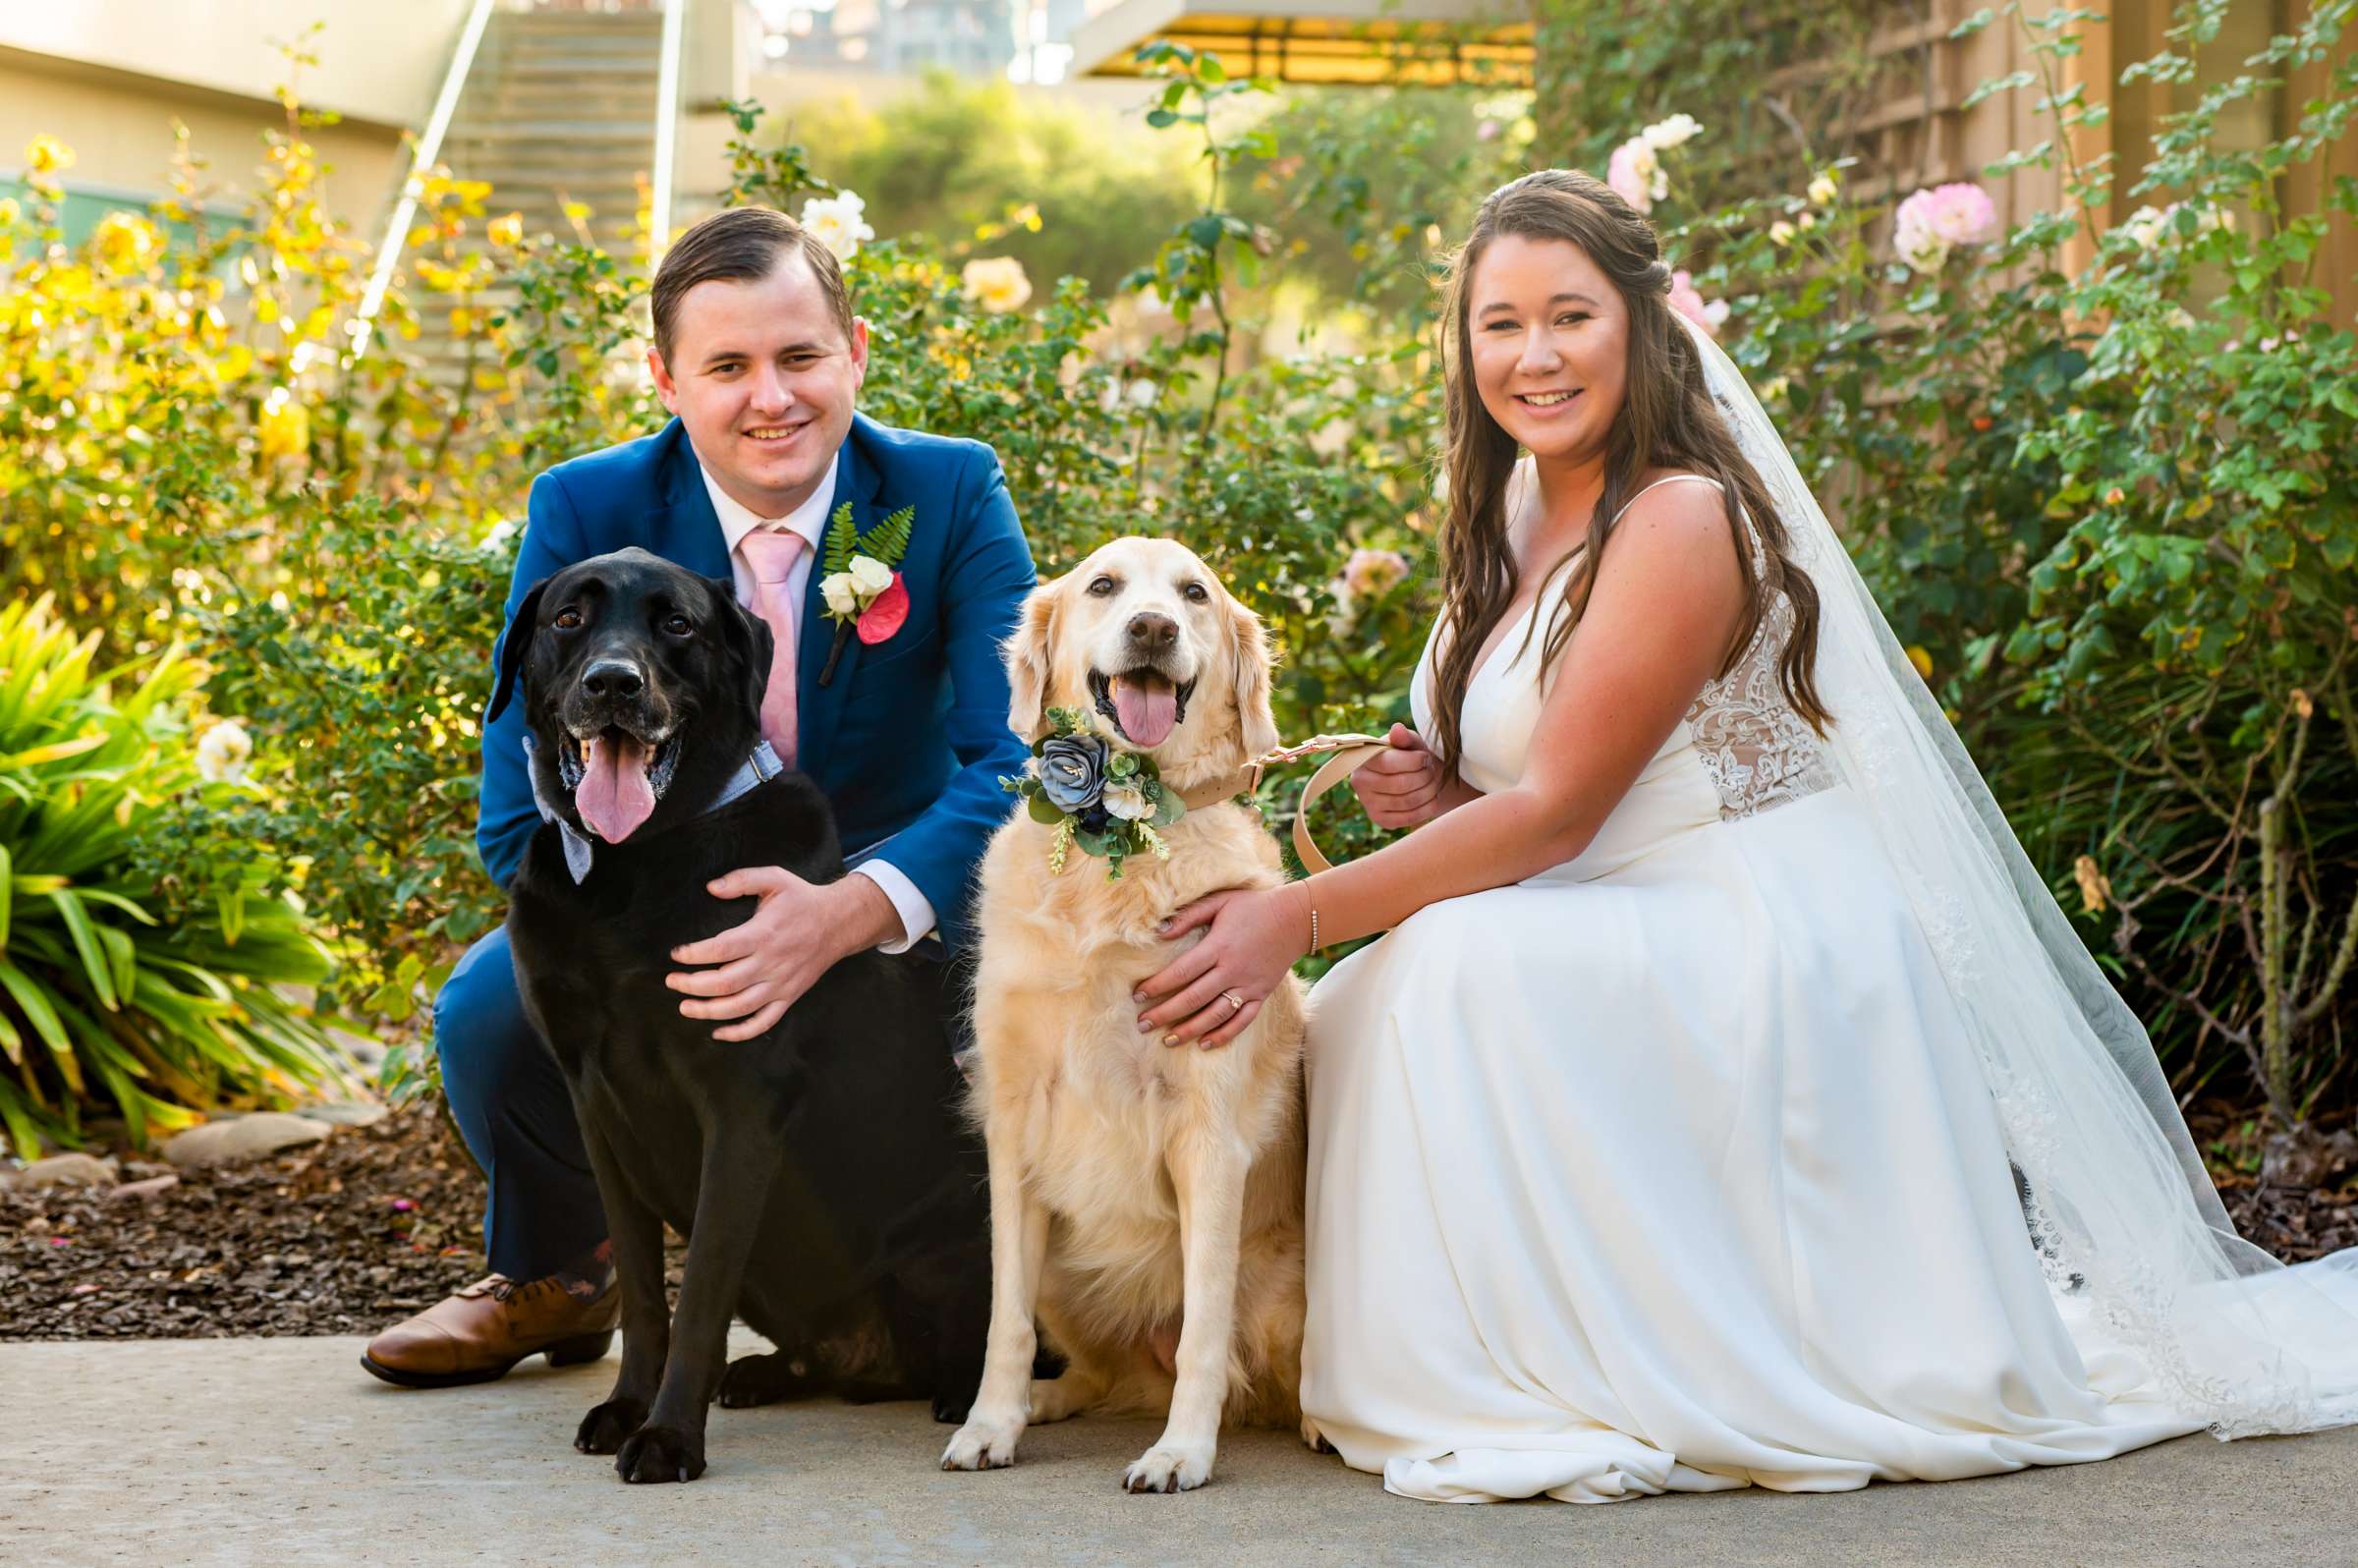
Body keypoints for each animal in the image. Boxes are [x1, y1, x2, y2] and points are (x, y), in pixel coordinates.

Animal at [487, 546, 985, 1481]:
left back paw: (969, 1395)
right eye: (569, 618)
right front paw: (627, 1407)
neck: (632, 868)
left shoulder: (740, 1101)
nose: (614, 684)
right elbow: (646, 1292)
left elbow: (700, 1292)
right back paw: (767, 1373)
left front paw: (667, 1437)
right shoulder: (594, 1105)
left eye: (677, 625)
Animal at [938, 537, 1320, 1489]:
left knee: (1265, 1368)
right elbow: (1005, 1318)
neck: (1116, 852)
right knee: (1097, 1372)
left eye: (1195, 594)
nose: (1154, 628)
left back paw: (1315, 1422)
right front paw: (990, 1423)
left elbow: (1204, 1332)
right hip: (1063, 1270)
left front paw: (1182, 1452)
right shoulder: (1015, 1125)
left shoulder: (1207, 1131)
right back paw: (1045, 1401)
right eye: (1103, 586)